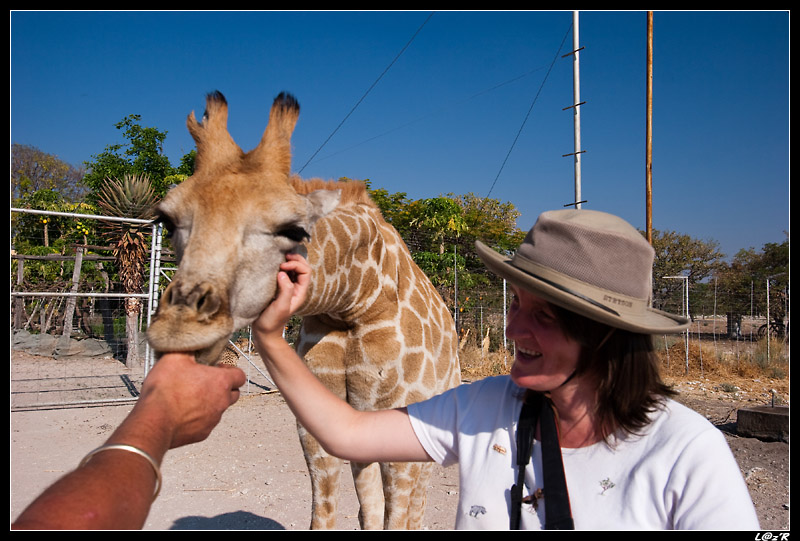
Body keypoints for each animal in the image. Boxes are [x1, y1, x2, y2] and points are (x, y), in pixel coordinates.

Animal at [146, 91, 461, 529]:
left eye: (293, 230)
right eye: (168, 219)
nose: (179, 331)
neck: (353, 302)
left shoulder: (406, 417)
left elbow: (398, 519)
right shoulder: (317, 421)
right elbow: (326, 514)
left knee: (416, 507)